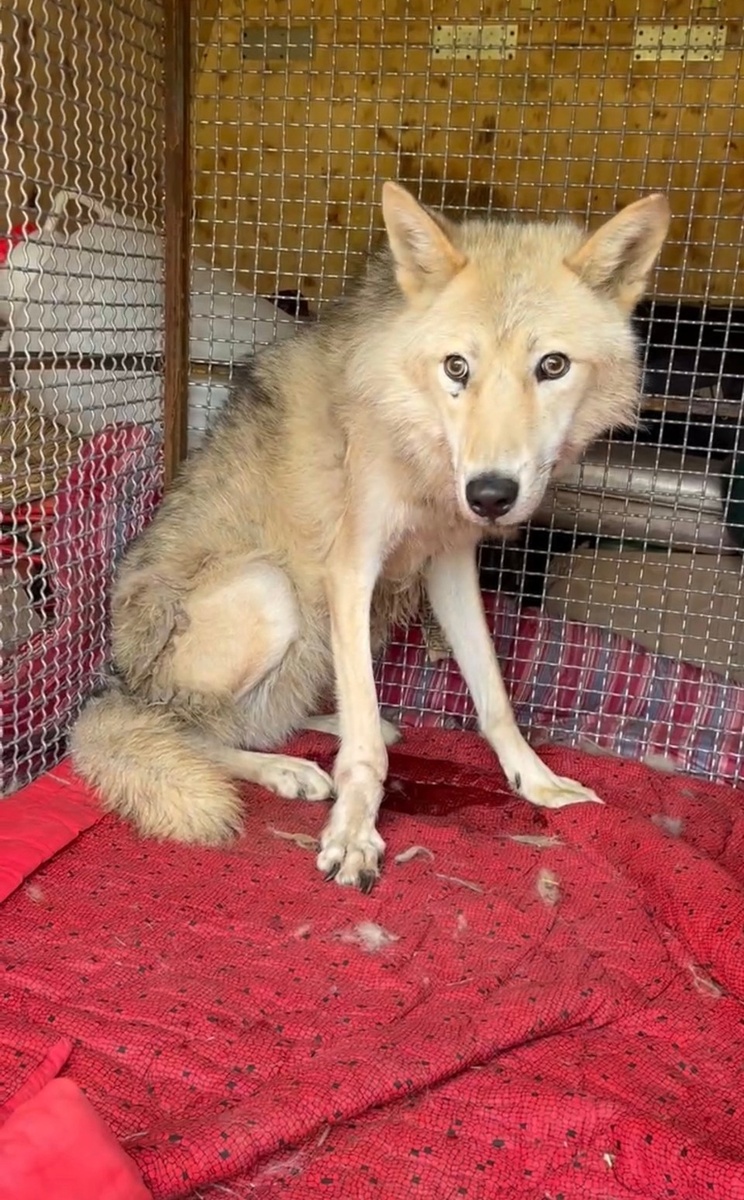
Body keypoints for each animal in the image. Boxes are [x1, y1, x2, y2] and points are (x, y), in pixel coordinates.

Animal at [70, 181, 670, 891]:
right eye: (457, 367)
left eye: (552, 365)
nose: (490, 494)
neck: (421, 444)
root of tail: (116, 683)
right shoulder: (352, 569)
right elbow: (361, 756)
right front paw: (354, 833)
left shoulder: (450, 564)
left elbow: (493, 696)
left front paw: (537, 781)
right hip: (274, 596)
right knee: (192, 732)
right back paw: (289, 769)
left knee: (269, 721)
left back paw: (338, 732)